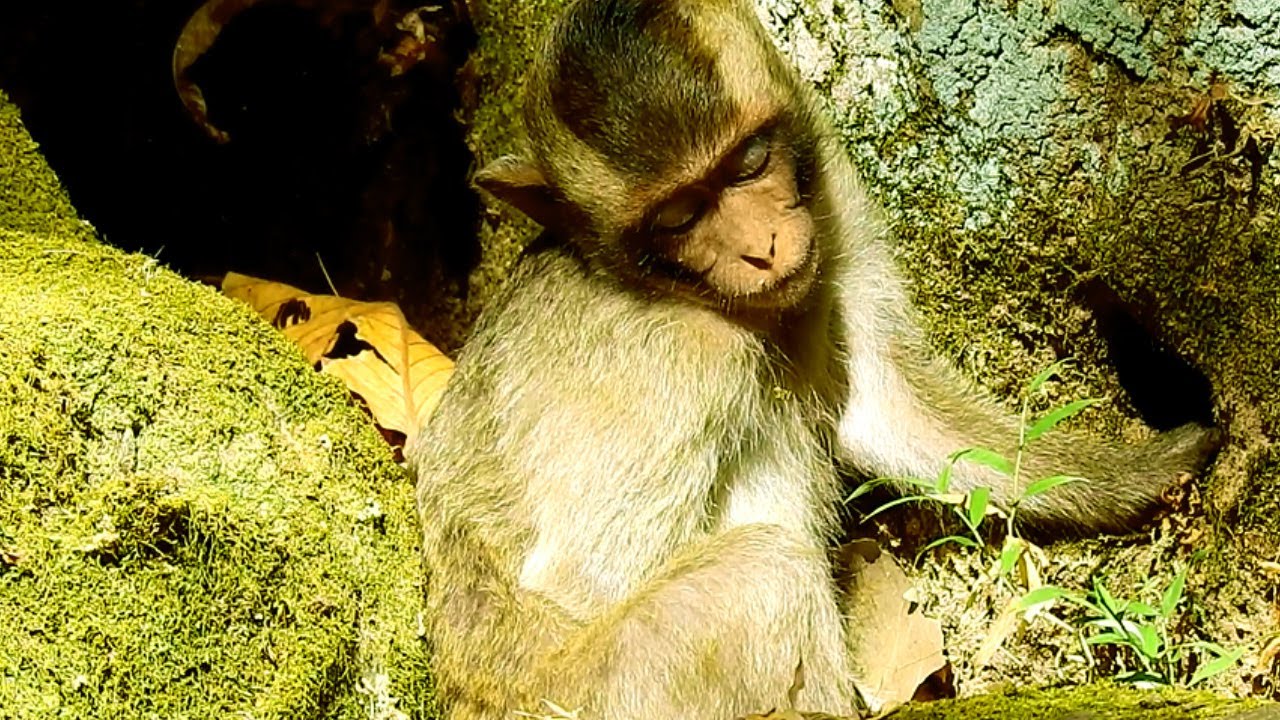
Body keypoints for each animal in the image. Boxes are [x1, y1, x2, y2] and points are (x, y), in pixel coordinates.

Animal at [407, 0, 1220, 717]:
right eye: (679, 217)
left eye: (749, 163)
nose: (761, 248)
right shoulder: (685, 355)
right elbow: (579, 583)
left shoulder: (833, 196)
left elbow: (885, 403)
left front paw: (1145, 472)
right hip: (593, 690)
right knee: (766, 571)